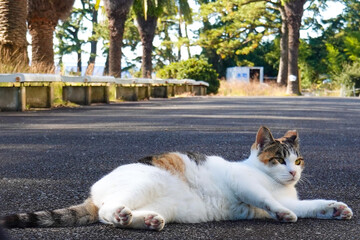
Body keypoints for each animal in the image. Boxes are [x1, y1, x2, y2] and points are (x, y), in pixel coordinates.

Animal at [0, 125, 352, 231]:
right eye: (279, 158)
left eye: (298, 160)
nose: (293, 172)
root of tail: (94, 193)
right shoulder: (246, 186)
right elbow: (268, 200)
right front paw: (283, 213)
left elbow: (313, 204)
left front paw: (335, 209)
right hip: (146, 182)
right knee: (106, 213)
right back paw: (120, 214)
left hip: (166, 206)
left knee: (123, 215)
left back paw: (145, 220)